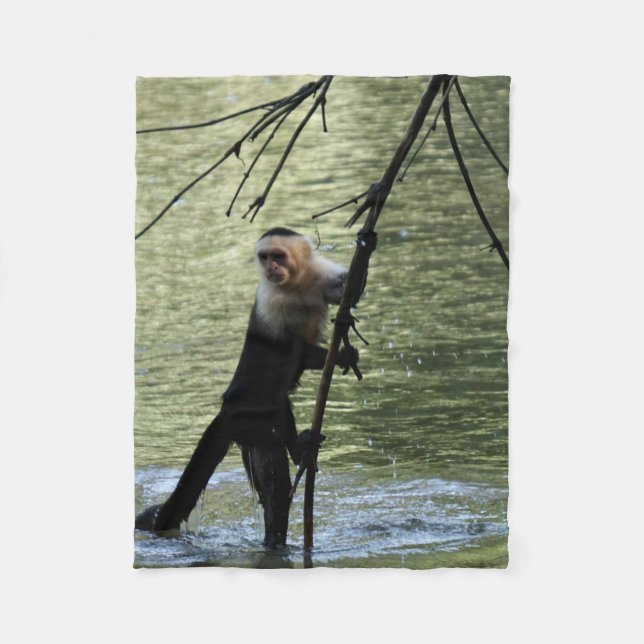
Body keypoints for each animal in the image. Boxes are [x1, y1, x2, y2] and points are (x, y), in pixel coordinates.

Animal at [135, 228, 358, 547]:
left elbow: (344, 292)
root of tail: (227, 409)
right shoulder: (272, 301)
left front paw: (364, 251)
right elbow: (288, 351)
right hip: (253, 420)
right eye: (264, 257)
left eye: (278, 256)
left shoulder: (317, 274)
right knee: (277, 408)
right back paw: (299, 452)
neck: (296, 284)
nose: (271, 268)